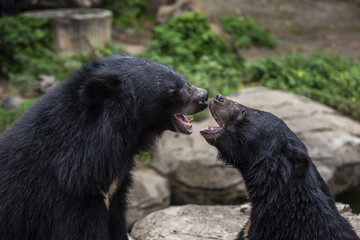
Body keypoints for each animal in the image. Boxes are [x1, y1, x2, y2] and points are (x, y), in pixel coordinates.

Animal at [0, 54, 208, 240]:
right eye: (173, 90)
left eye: (182, 79)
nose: (204, 96)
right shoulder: (70, 190)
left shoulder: (113, 184)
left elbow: (116, 220)